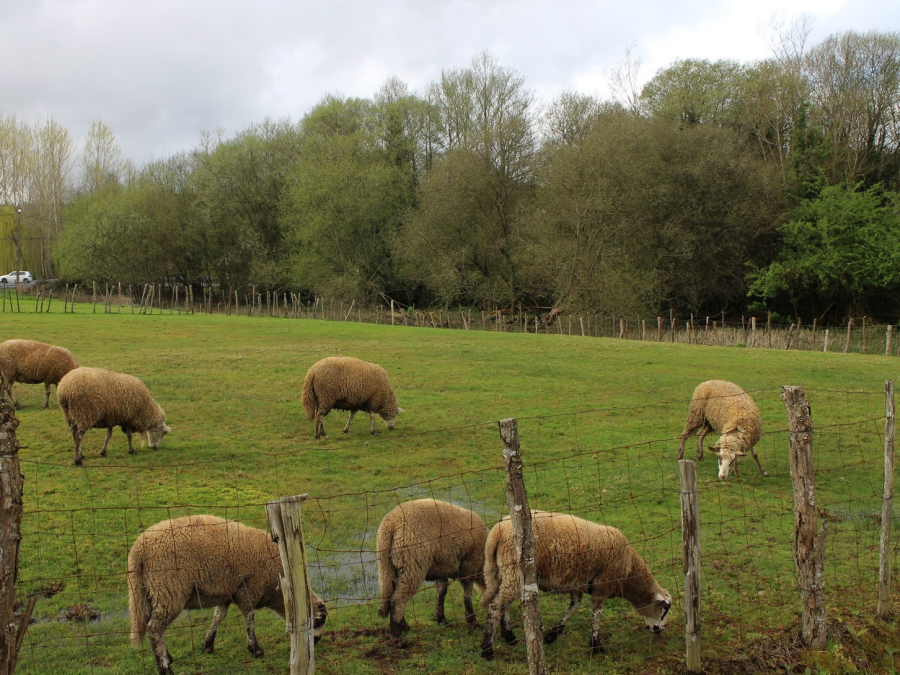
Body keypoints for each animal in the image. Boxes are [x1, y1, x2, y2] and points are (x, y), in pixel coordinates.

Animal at [128, 516, 328, 672]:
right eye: (319, 621)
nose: (316, 641)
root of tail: (138, 549)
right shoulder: (249, 589)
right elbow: (249, 619)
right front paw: (256, 650)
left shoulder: (226, 593)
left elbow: (218, 616)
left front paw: (207, 645)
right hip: (168, 589)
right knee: (155, 629)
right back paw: (165, 667)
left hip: (150, 592)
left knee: (153, 627)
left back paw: (167, 657)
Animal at [374, 496, 486, 640]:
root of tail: (391, 525)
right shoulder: (469, 565)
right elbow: (467, 596)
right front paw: (472, 621)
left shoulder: (441, 569)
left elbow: (441, 591)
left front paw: (441, 618)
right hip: (412, 565)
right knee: (397, 600)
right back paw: (397, 635)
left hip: (387, 566)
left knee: (393, 596)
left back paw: (403, 626)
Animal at [482, 512, 672, 660]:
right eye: (664, 610)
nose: (659, 631)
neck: (629, 572)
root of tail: (496, 533)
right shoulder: (602, 586)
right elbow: (596, 616)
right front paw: (596, 646)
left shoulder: (577, 586)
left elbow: (574, 608)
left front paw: (552, 635)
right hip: (514, 570)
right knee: (495, 605)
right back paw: (487, 649)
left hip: (505, 572)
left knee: (503, 603)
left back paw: (509, 636)